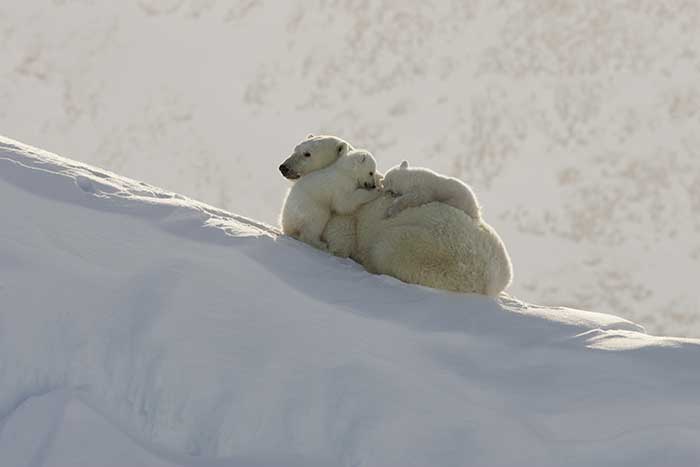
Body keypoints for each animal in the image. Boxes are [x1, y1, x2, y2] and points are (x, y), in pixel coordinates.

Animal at [278, 135, 516, 296]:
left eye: (307, 153)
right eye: (296, 148)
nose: (283, 167)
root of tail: (490, 280)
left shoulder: (344, 215)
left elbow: (340, 236)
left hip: (424, 250)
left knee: (386, 249)